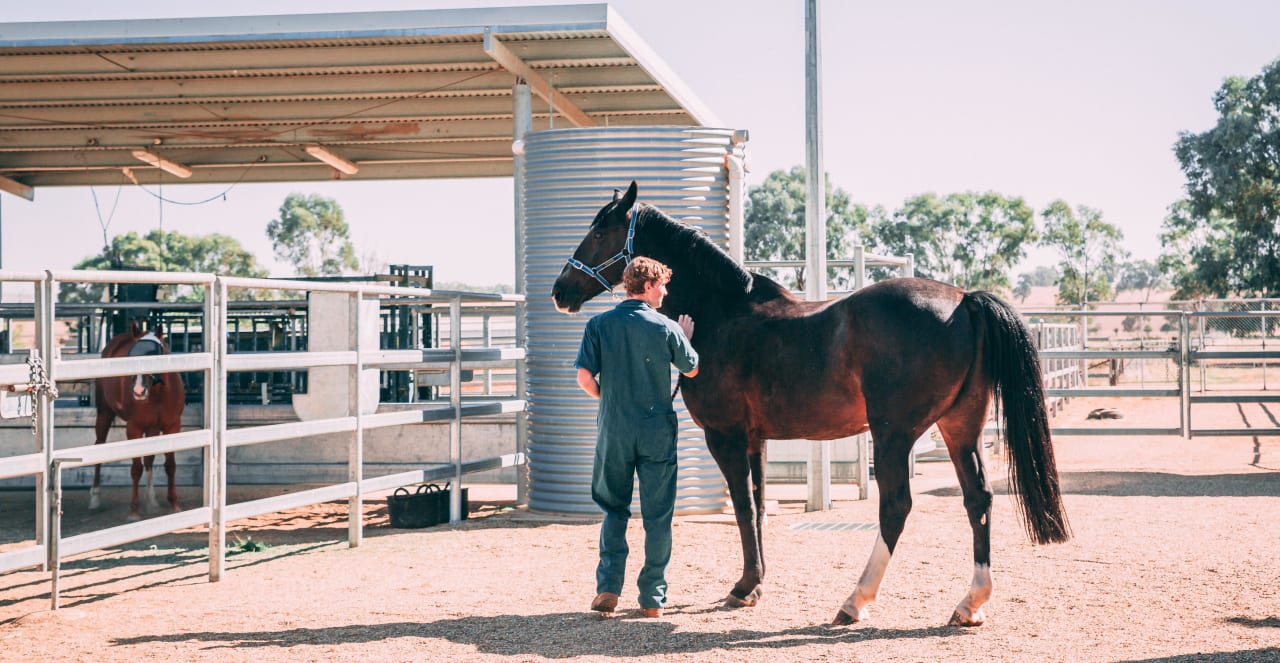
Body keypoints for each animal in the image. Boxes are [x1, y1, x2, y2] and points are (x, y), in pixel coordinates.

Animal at [88, 325, 185, 522]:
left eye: (155, 355)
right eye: (130, 356)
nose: (138, 391)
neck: (158, 393)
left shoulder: (172, 427)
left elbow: (170, 465)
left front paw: (174, 505)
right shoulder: (134, 428)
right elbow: (136, 469)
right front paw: (134, 511)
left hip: (152, 428)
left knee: (149, 459)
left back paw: (152, 500)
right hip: (104, 413)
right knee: (99, 445)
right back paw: (95, 497)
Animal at [550, 183, 1070, 629]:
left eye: (599, 231)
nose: (561, 291)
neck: (723, 314)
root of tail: (965, 301)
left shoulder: (725, 437)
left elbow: (743, 508)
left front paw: (743, 587)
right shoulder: (755, 440)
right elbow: (760, 505)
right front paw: (756, 585)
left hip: (893, 433)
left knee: (896, 506)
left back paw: (855, 601)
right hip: (959, 427)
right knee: (977, 499)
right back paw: (970, 604)